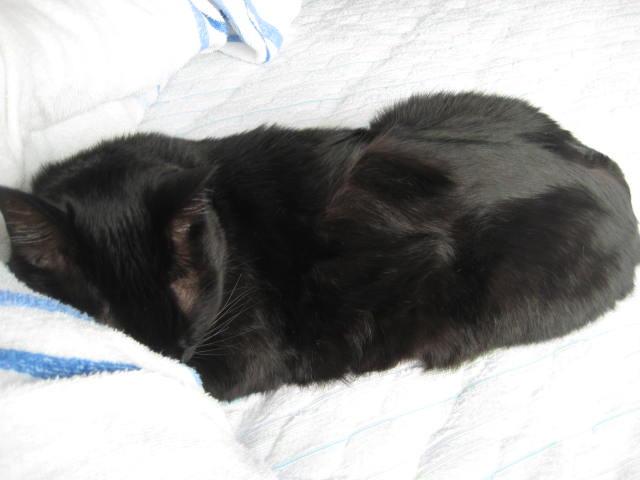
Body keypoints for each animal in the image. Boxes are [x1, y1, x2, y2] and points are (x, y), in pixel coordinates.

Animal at [1, 92, 638, 400]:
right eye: (107, 318)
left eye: (183, 292)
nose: (170, 353)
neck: (225, 227)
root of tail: (618, 193)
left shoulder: (245, 353)